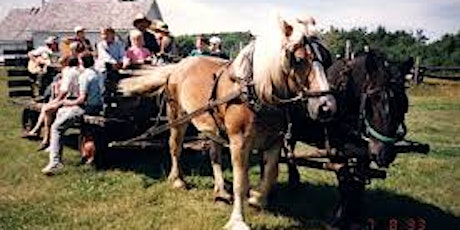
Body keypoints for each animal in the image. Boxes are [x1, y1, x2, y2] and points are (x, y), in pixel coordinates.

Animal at [117, 15, 336, 228]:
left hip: (212, 126)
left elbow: (270, 173)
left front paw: (256, 198)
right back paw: (178, 180)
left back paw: (221, 191)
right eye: (298, 60)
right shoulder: (239, 142)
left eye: (327, 60)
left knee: (214, 155)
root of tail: (177, 66)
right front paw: (238, 220)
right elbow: (240, 181)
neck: (254, 90)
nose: (326, 107)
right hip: (177, 116)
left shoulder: (275, 140)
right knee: (175, 147)